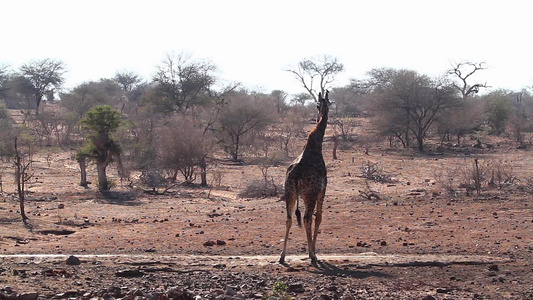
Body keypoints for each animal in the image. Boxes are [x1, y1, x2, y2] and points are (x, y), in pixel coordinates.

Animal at [278, 90, 328, 264]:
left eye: (319, 104)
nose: (320, 111)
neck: (316, 144)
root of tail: (296, 175)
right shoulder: (322, 189)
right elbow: (318, 217)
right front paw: (313, 253)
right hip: (309, 194)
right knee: (307, 218)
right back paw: (312, 256)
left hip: (290, 192)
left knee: (288, 218)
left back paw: (282, 256)